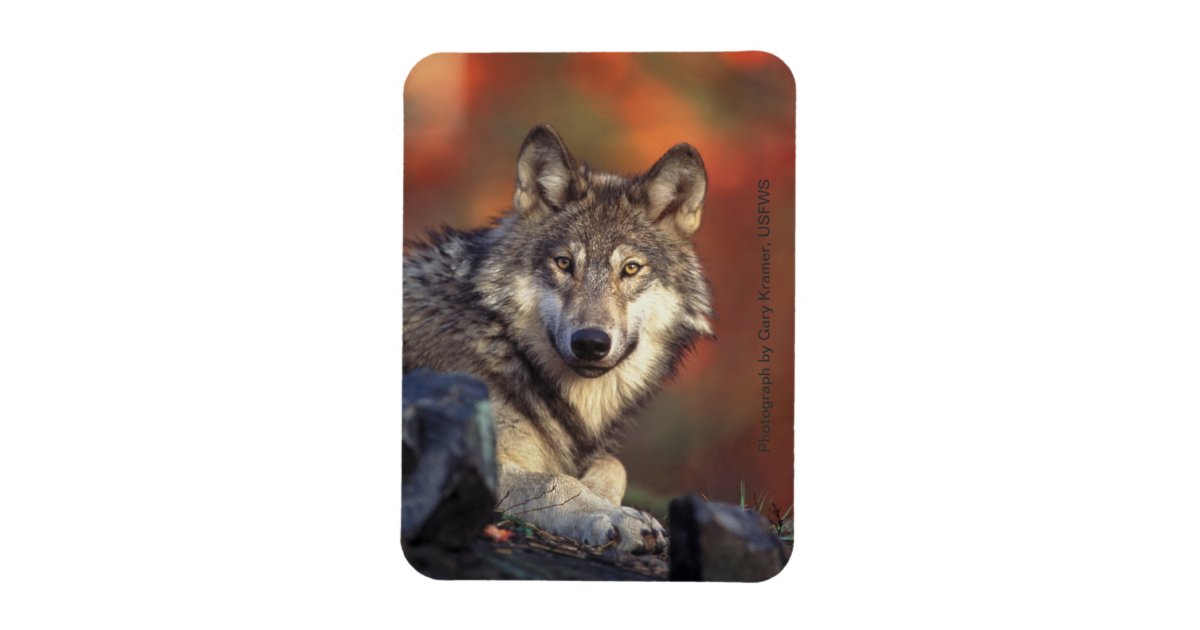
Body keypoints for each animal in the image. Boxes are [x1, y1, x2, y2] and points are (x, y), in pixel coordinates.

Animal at [403, 124, 713, 553]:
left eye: (631, 269)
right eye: (564, 264)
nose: (590, 343)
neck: (505, 345)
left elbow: (613, 465)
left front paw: (605, 499)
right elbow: (554, 480)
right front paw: (615, 517)